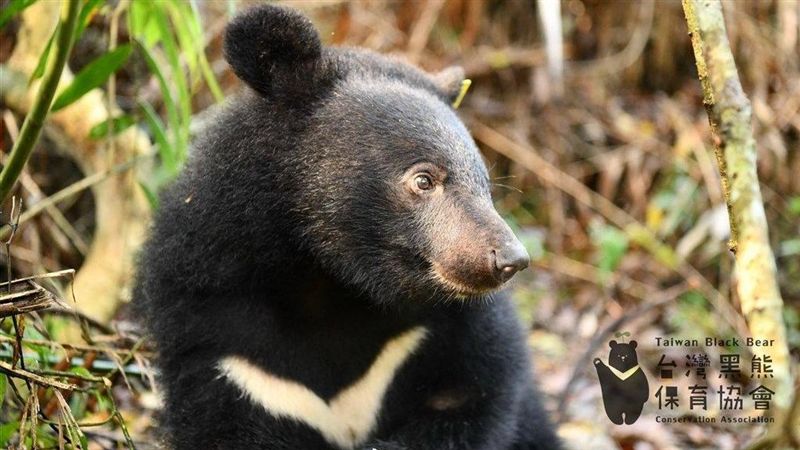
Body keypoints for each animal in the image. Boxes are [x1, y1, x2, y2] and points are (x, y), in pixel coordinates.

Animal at [134, 4, 561, 450]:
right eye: (424, 180)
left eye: (485, 183)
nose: (509, 259)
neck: (329, 285)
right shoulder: (224, 344)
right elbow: (227, 424)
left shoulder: (448, 333)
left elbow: (471, 397)